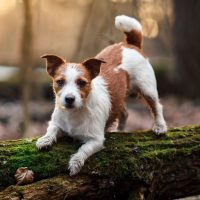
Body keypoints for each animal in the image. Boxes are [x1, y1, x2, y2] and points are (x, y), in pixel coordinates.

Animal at [36, 15, 167, 175]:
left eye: (82, 83)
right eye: (60, 82)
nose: (69, 99)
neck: (75, 113)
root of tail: (129, 44)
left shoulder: (96, 140)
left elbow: (83, 149)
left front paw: (75, 163)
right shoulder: (57, 123)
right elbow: (52, 129)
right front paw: (45, 139)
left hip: (147, 88)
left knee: (156, 106)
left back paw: (160, 126)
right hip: (119, 97)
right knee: (124, 113)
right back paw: (120, 130)